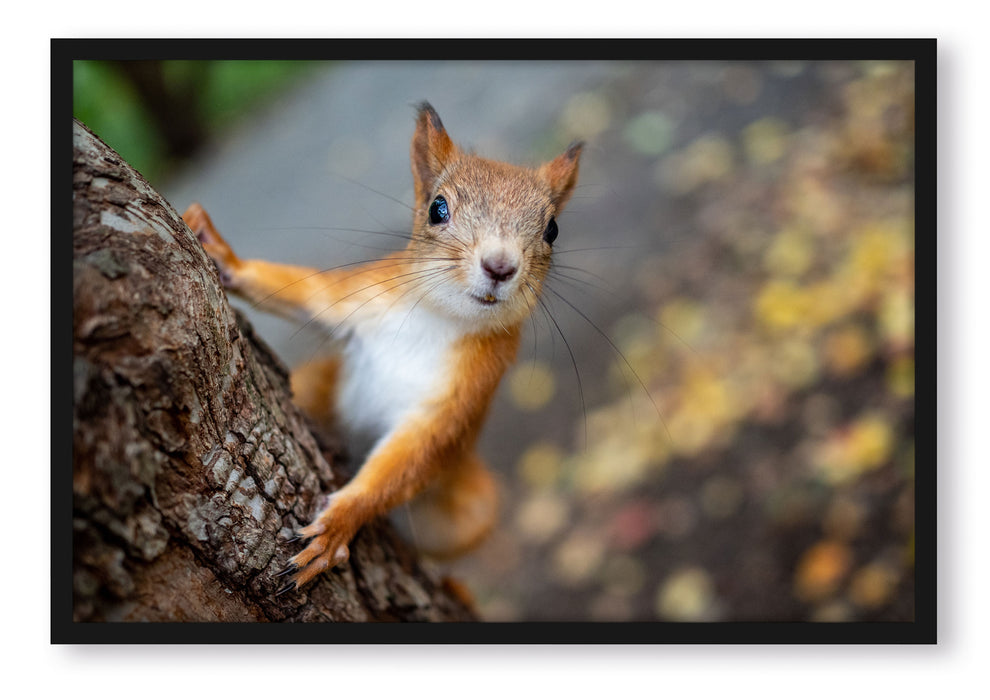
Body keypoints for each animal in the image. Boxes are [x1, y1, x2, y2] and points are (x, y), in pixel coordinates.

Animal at [181, 101, 580, 592]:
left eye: (553, 229)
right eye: (437, 208)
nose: (500, 266)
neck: (438, 319)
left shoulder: (465, 393)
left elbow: (412, 456)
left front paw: (338, 525)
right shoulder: (361, 296)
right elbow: (308, 294)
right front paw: (222, 254)